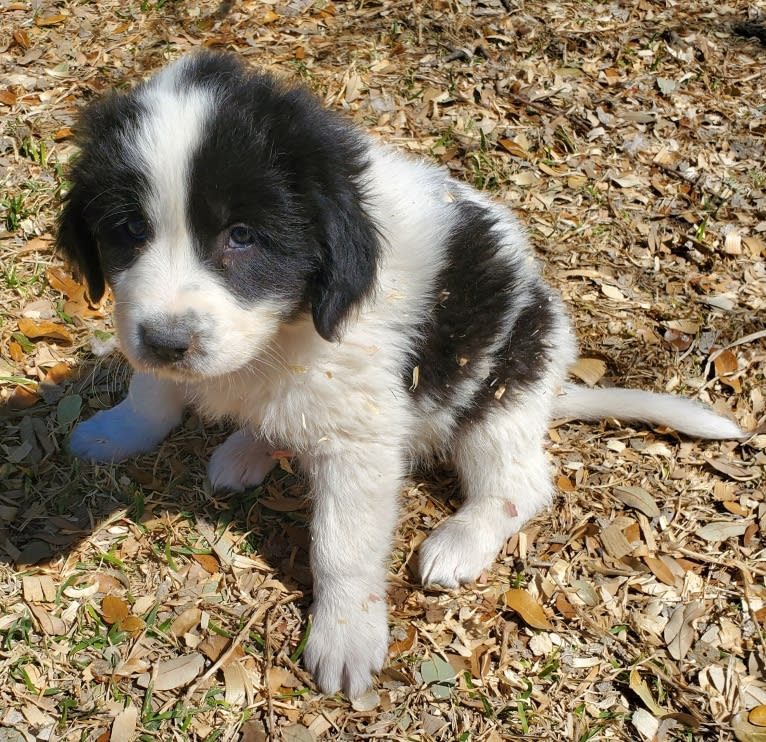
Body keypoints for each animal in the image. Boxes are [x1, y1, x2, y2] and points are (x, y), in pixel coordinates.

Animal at [57, 50, 748, 696]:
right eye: (128, 228)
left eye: (243, 235)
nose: (167, 342)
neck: (286, 327)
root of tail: (551, 384)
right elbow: (151, 389)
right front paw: (117, 431)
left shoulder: (359, 434)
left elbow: (343, 545)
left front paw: (346, 634)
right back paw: (248, 447)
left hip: (499, 392)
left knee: (520, 482)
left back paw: (461, 538)